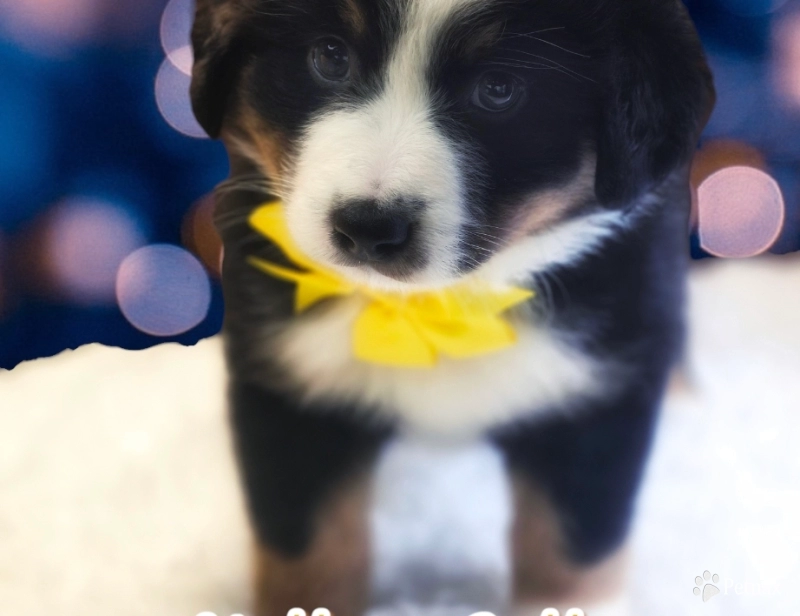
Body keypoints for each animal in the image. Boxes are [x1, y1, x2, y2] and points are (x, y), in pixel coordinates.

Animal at [191, 2, 716, 612]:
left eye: (498, 89)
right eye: (330, 56)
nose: (368, 229)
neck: (438, 307)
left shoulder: (594, 397)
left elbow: (572, 556)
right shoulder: (290, 388)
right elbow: (309, 555)